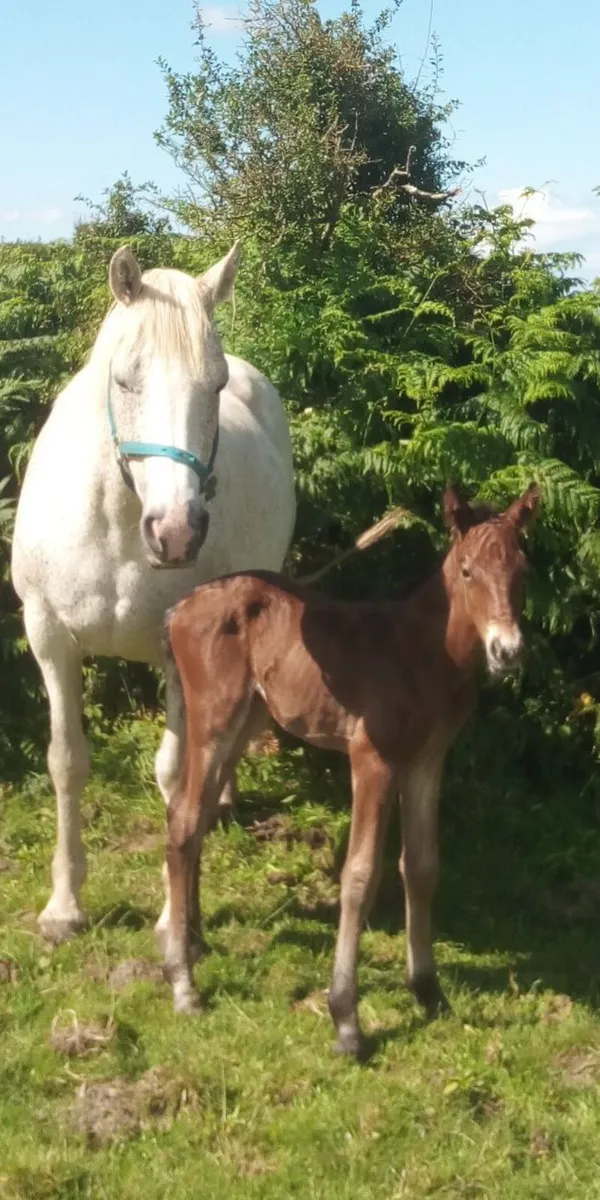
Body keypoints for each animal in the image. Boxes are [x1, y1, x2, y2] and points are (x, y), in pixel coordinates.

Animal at [11, 243, 296, 945]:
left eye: (214, 385)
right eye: (124, 380)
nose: (175, 531)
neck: (116, 523)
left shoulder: (179, 654)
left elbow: (171, 773)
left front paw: (174, 919)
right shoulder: (49, 638)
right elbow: (66, 761)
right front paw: (64, 908)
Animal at [164, 483, 540, 1055]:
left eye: (522, 571)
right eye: (468, 571)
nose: (507, 650)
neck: (423, 652)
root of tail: (180, 605)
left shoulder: (428, 759)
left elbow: (422, 867)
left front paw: (428, 990)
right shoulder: (372, 759)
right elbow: (360, 875)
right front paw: (346, 1019)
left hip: (249, 720)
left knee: (197, 816)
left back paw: (193, 943)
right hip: (214, 718)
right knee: (184, 821)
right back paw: (183, 983)